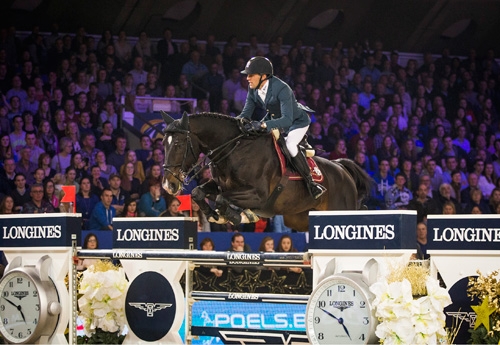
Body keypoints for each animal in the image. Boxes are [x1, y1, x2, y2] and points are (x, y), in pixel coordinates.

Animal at [160, 111, 372, 232]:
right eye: (163, 143)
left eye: (178, 144)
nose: (169, 185)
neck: (234, 149)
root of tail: (342, 168)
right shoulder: (221, 185)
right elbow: (198, 192)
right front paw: (215, 215)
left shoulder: (258, 195)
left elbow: (221, 199)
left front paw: (236, 215)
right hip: (300, 219)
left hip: (340, 208)